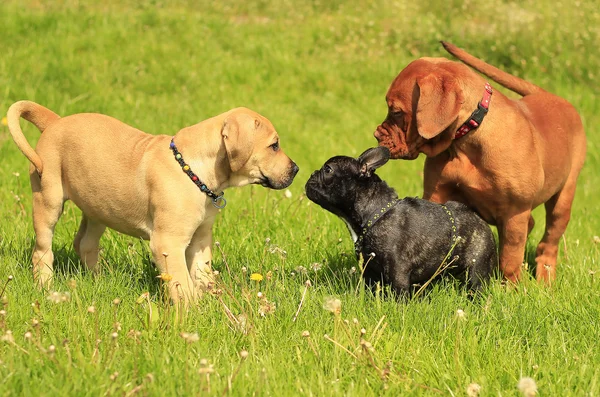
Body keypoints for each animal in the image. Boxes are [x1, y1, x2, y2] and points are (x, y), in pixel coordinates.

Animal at [8, 100, 298, 302]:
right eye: (274, 145)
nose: (295, 169)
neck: (193, 169)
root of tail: (55, 122)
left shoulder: (201, 238)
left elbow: (202, 274)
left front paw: (211, 302)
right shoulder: (168, 242)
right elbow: (182, 283)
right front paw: (193, 312)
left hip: (97, 206)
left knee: (85, 243)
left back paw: (100, 279)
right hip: (48, 198)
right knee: (42, 249)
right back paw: (45, 285)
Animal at [304, 147, 496, 296]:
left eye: (328, 170)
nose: (312, 173)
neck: (374, 214)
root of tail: (479, 219)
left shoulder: (398, 271)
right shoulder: (369, 271)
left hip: (476, 269)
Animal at [376, 41, 584, 284]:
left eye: (396, 112)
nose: (376, 135)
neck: (466, 140)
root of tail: (546, 94)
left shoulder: (516, 211)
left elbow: (510, 259)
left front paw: (511, 288)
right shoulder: (437, 194)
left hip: (563, 198)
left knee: (548, 243)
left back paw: (545, 280)